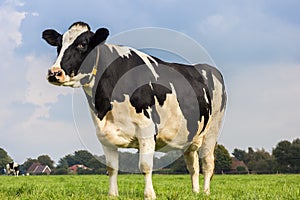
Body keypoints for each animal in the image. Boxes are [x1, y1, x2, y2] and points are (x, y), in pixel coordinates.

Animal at [41, 21, 225, 198]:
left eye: (82, 44)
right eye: (59, 45)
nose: (54, 73)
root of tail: (207, 68)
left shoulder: (147, 131)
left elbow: (145, 166)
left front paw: (149, 195)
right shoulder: (105, 135)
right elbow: (112, 168)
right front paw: (112, 194)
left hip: (212, 130)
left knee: (207, 164)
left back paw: (206, 192)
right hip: (190, 136)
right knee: (193, 166)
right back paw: (195, 192)